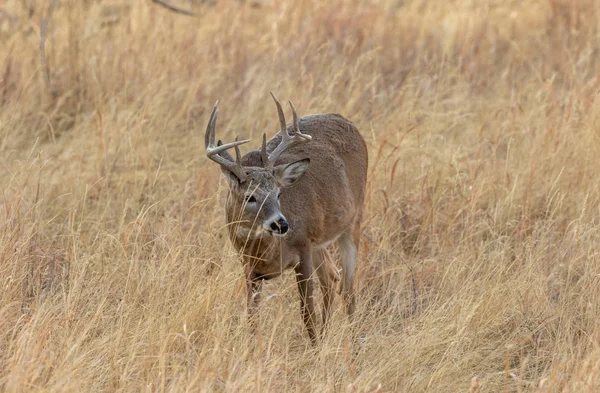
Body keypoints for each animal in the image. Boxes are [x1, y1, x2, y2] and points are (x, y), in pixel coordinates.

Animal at [204, 92, 368, 344]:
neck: (267, 252)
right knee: (331, 278)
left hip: (354, 220)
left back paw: (351, 345)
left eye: (279, 193)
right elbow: (252, 317)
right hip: (320, 240)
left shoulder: (303, 248)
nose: (281, 223)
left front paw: (314, 349)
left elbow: (307, 313)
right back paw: (327, 335)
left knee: (348, 290)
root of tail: (346, 121)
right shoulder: (248, 267)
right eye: (250, 196)